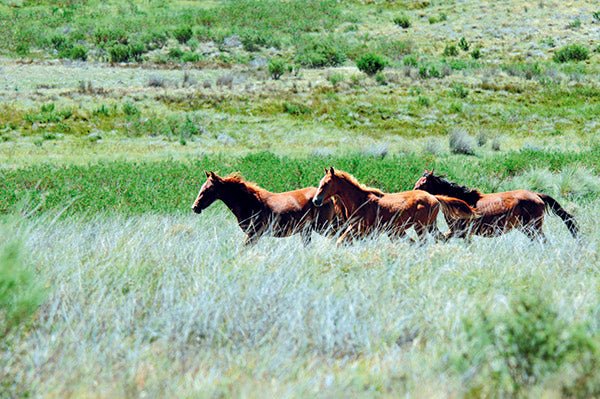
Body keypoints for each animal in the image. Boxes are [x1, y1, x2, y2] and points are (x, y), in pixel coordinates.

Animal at [192, 171, 346, 245]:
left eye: (209, 189)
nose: (195, 207)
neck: (250, 202)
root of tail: (328, 198)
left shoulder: (254, 234)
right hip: (307, 231)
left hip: (323, 227)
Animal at [312, 167, 476, 242]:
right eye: (320, 182)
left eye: (326, 183)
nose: (316, 201)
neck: (360, 200)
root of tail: (433, 197)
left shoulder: (362, 229)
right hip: (429, 226)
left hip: (420, 227)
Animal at [412, 170, 576, 241]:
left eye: (423, 183)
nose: (412, 193)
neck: (462, 200)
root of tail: (537, 195)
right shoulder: (459, 233)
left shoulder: (461, 232)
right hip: (526, 228)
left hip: (532, 227)